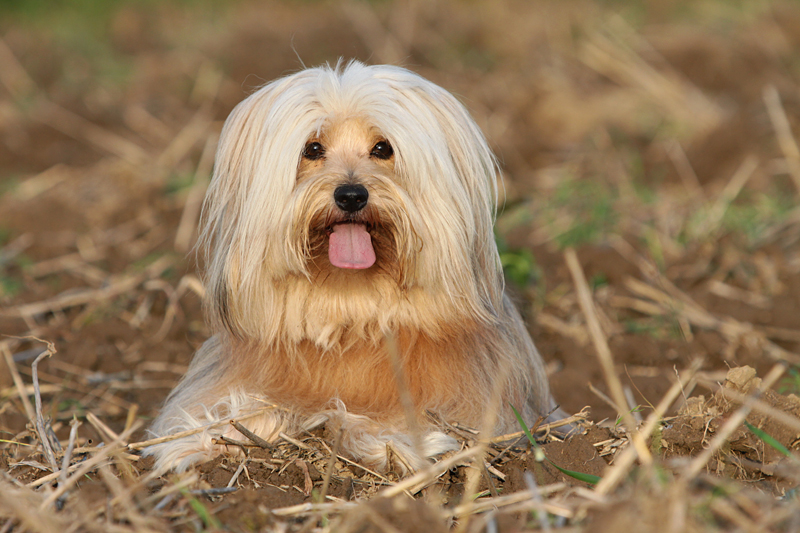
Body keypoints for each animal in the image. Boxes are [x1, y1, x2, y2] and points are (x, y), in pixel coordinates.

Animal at [145, 60, 568, 472]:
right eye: (313, 148)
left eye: (382, 148)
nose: (351, 195)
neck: (351, 310)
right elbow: (235, 406)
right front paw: (198, 441)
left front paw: (393, 442)